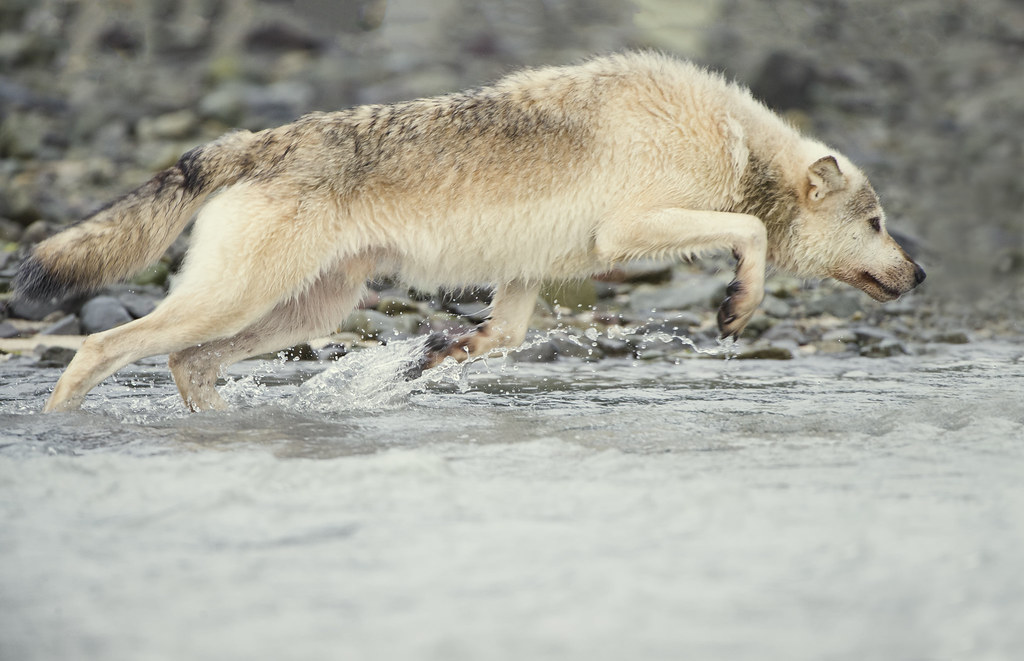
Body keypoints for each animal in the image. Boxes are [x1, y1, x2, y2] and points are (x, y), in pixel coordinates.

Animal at [14, 51, 925, 412]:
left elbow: (495, 339)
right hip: (237, 299)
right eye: (880, 222)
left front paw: (437, 354)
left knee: (185, 362)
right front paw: (738, 304)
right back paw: (56, 429)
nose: (920, 276)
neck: (735, 144)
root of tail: (252, 138)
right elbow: (750, 235)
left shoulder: (524, 281)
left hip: (299, 312)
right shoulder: (628, 230)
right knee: (99, 347)